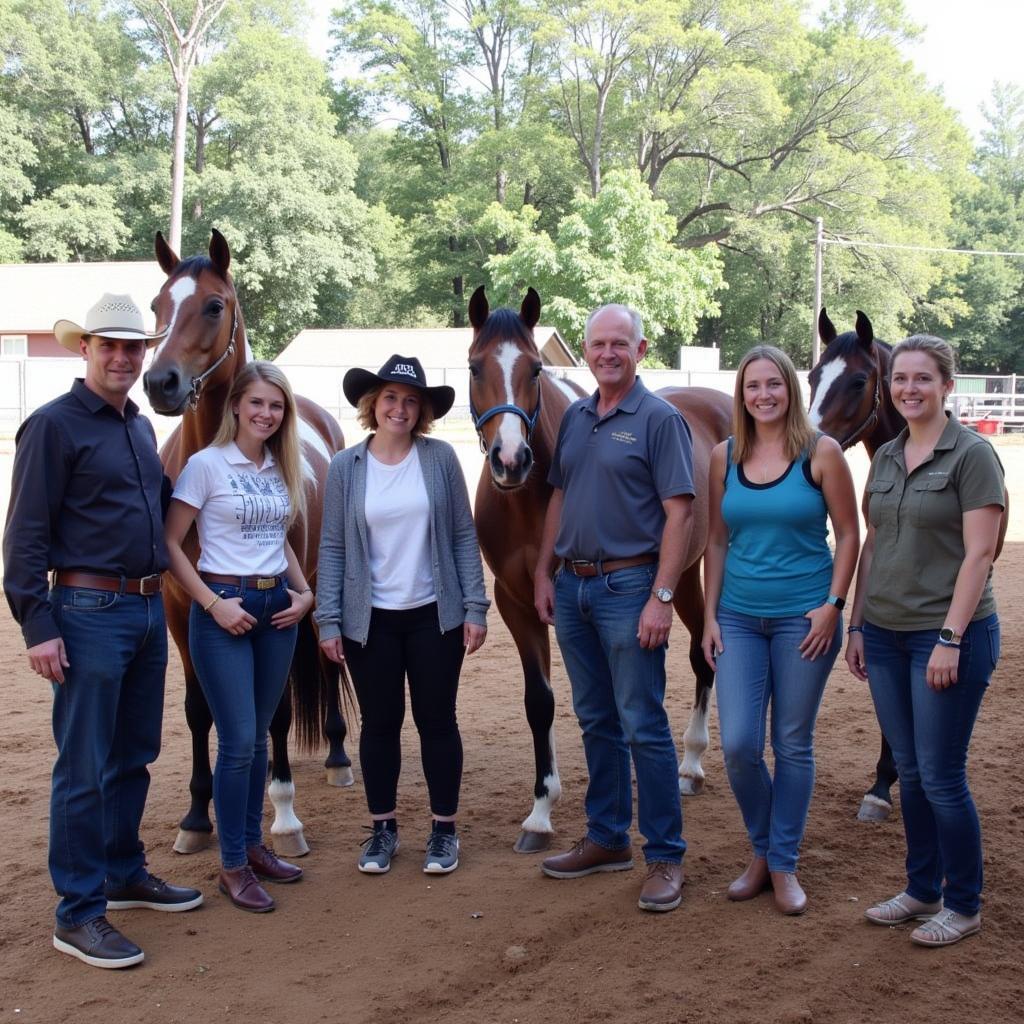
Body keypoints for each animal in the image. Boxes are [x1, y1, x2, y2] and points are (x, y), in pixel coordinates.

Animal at [144, 230, 352, 856]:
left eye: (213, 305)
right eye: (157, 305)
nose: (160, 382)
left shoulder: (282, 604)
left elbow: (278, 709)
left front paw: (283, 815)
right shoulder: (183, 610)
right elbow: (198, 713)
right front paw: (196, 816)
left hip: (315, 597)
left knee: (325, 666)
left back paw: (336, 756)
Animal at [468, 284, 733, 851]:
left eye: (535, 370)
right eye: (476, 367)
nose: (510, 459)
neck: (529, 501)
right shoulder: (518, 603)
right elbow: (540, 702)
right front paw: (541, 810)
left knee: (705, 659)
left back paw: (691, 763)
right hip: (681, 576)